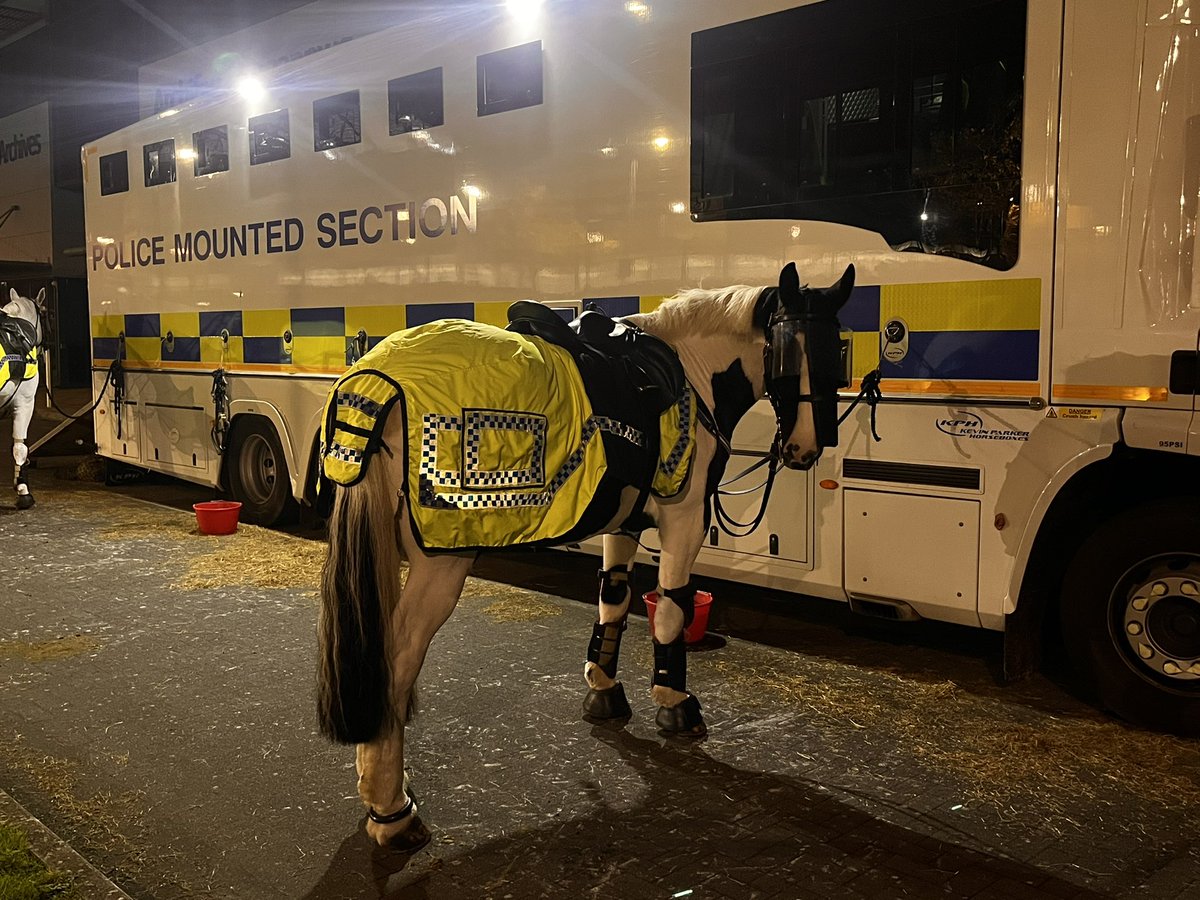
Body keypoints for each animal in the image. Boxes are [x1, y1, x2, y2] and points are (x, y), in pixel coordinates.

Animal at [316, 262, 854, 854]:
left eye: (837, 352)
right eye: (786, 354)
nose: (804, 449)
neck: (689, 370)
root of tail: (376, 378)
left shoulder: (624, 523)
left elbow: (613, 602)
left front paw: (604, 690)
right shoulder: (684, 519)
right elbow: (671, 610)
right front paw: (674, 700)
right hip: (441, 561)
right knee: (397, 655)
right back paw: (391, 809)